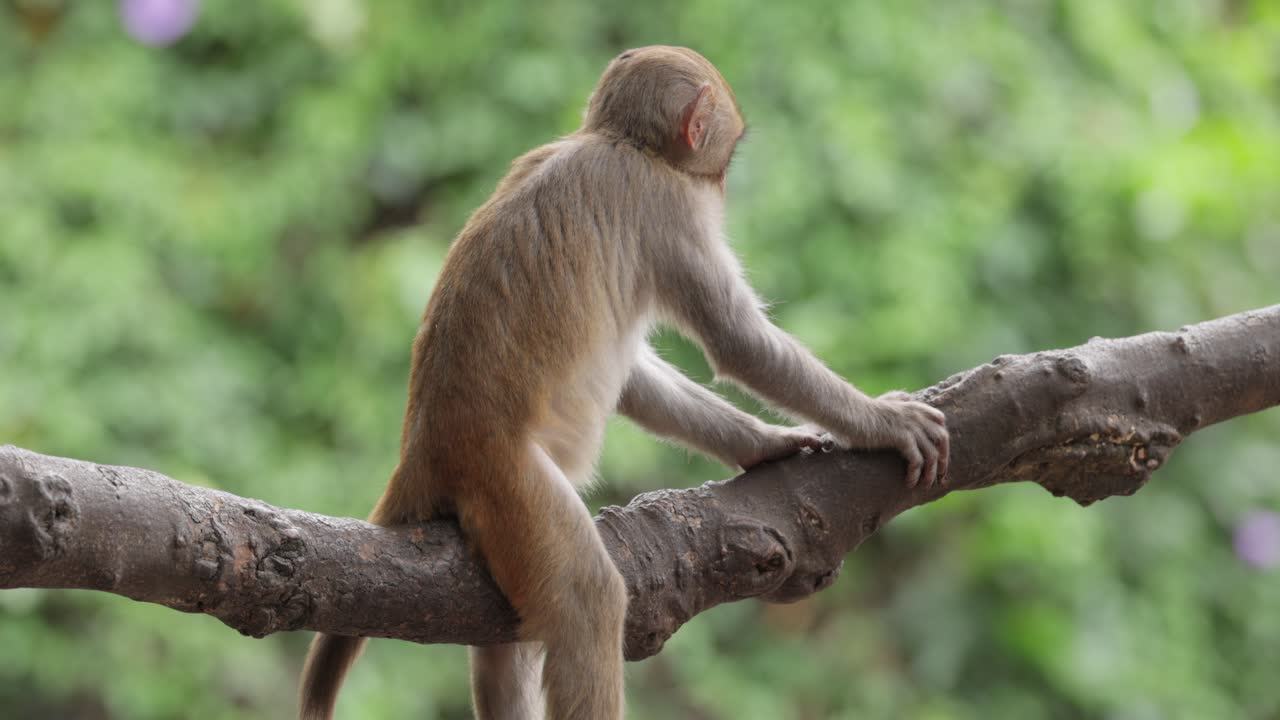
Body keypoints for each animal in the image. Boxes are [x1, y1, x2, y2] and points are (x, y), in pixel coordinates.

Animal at [299, 45, 949, 720]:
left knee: (508, 637)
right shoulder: (669, 208)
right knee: (586, 599)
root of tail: (424, 449)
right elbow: (736, 343)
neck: (616, 141)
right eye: (723, 160)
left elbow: (632, 375)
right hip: (507, 480)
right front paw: (883, 422)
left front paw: (763, 442)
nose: (724, 188)